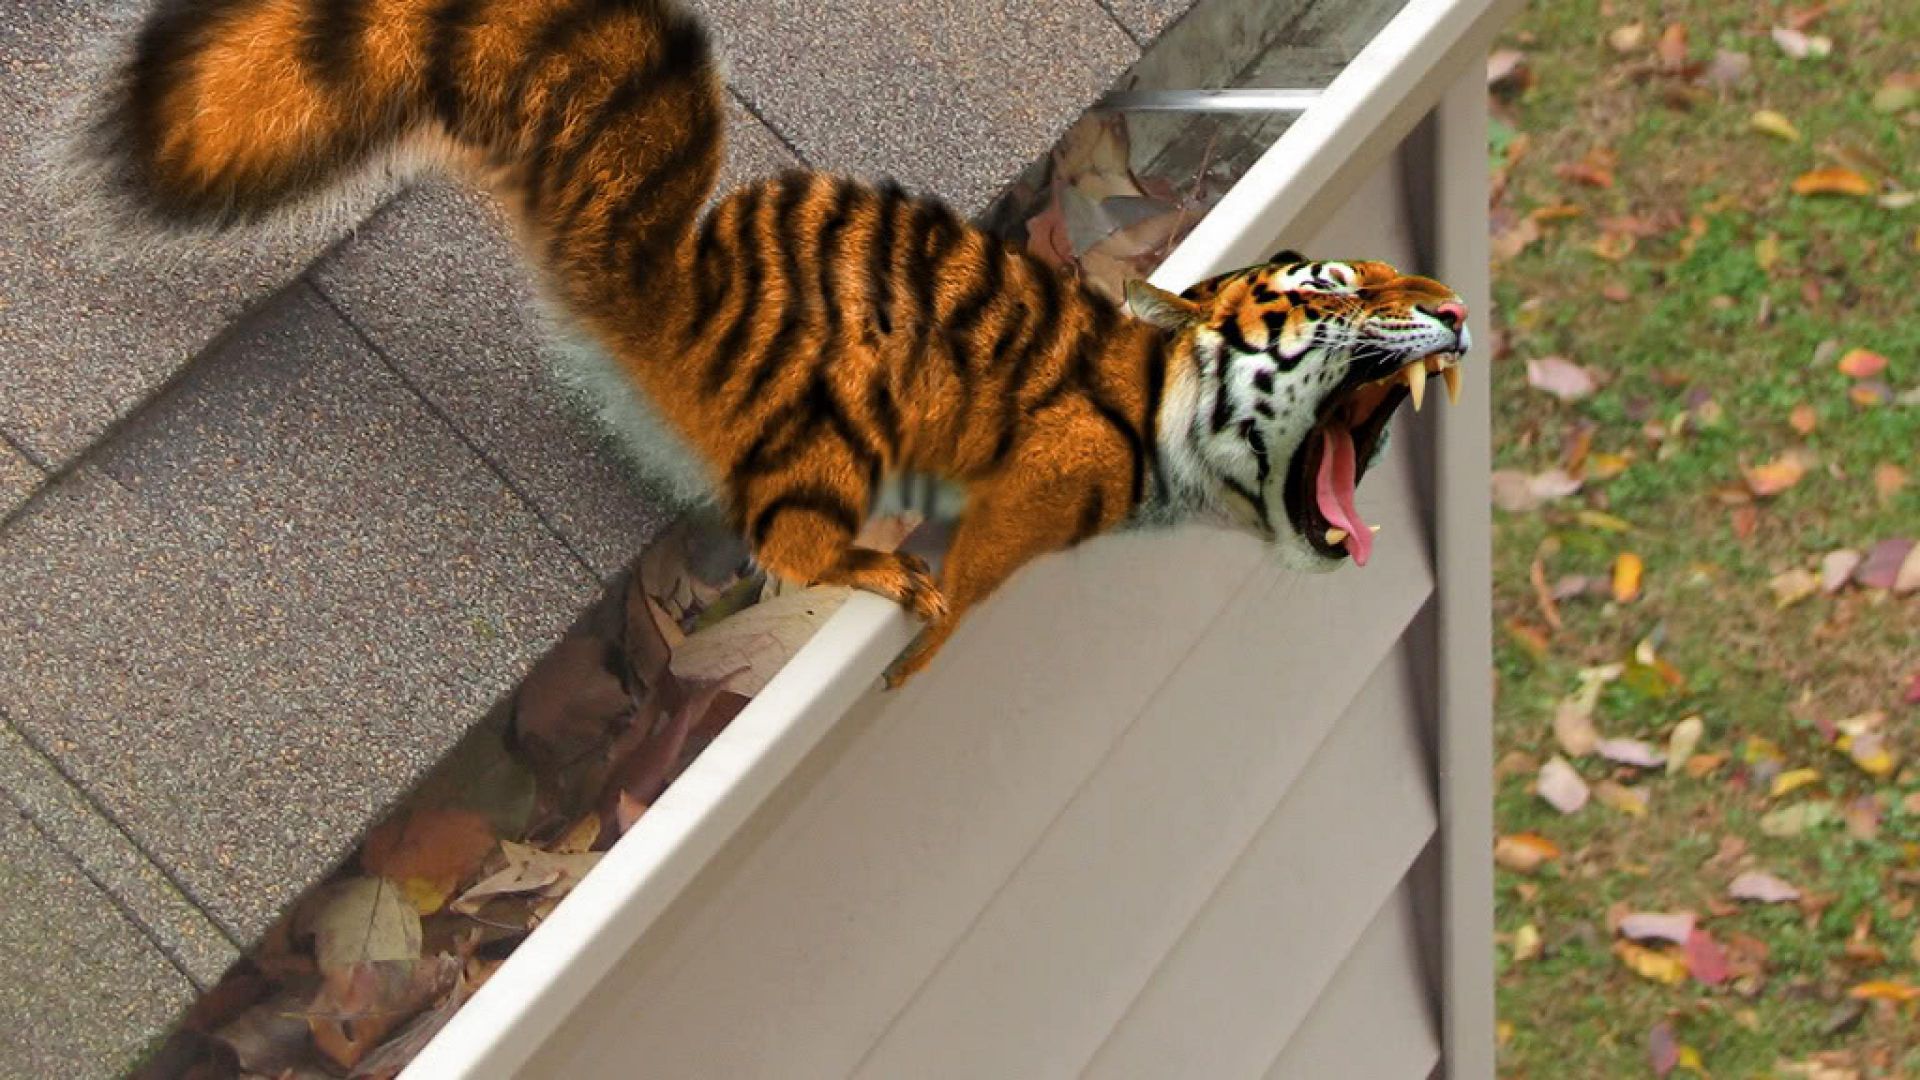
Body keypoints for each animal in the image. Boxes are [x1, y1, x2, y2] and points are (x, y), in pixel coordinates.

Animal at [72, 0, 1471, 684]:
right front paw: (942, 615)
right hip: (825, 419)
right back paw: (870, 565)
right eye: (1330, 290)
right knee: (790, 538)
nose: (1456, 318)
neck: (1162, 407)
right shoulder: (1051, 465)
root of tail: (672, 312)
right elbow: (994, 547)